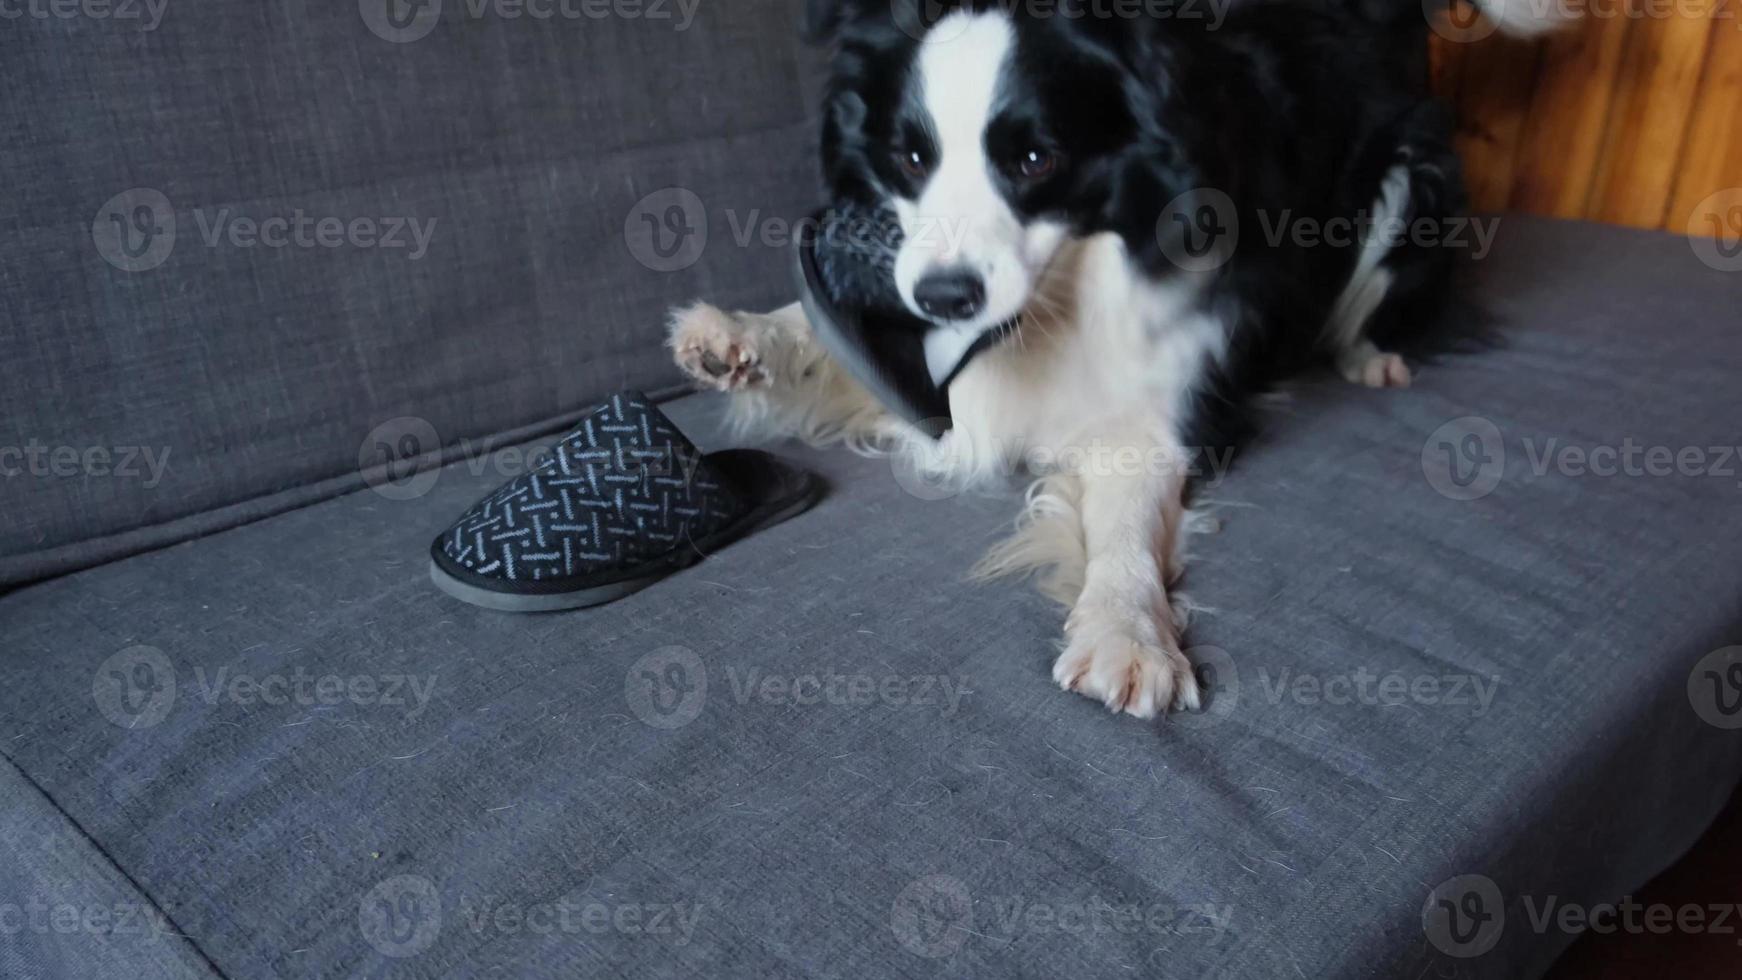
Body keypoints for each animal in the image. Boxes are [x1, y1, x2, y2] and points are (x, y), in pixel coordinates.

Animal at [665, 0, 1567, 720]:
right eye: (911, 157)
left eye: (1035, 160)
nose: (945, 297)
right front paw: (736, 336)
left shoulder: (1169, 396)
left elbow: (1130, 517)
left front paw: (1129, 636)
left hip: (1408, 183)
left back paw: (1373, 355)